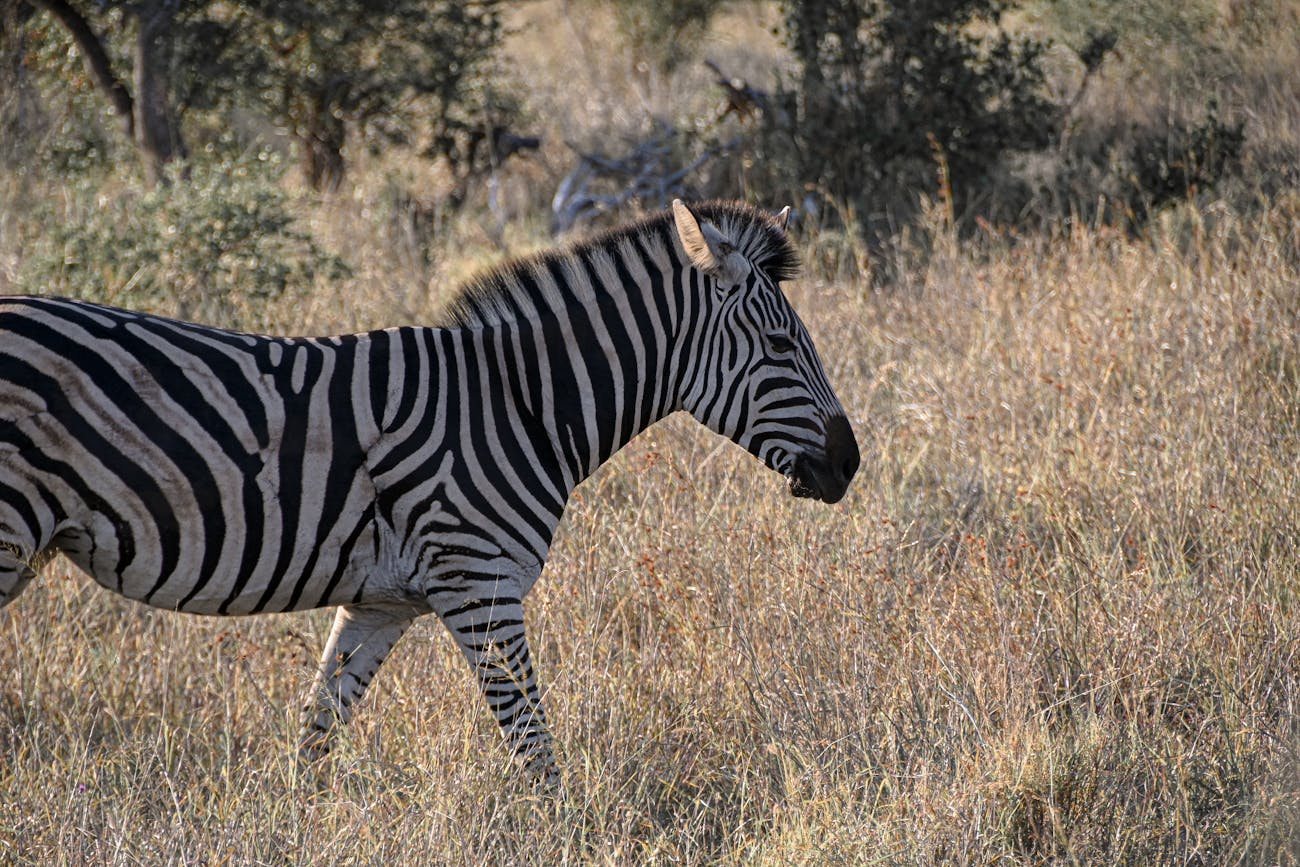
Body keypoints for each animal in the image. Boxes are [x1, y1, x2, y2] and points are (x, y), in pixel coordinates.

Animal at [2, 200, 863, 790]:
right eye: (780, 345)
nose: (851, 463)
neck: (519, 403)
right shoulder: (480, 584)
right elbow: (534, 745)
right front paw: (567, 834)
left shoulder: (380, 600)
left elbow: (318, 731)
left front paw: (292, 827)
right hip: (11, 530)